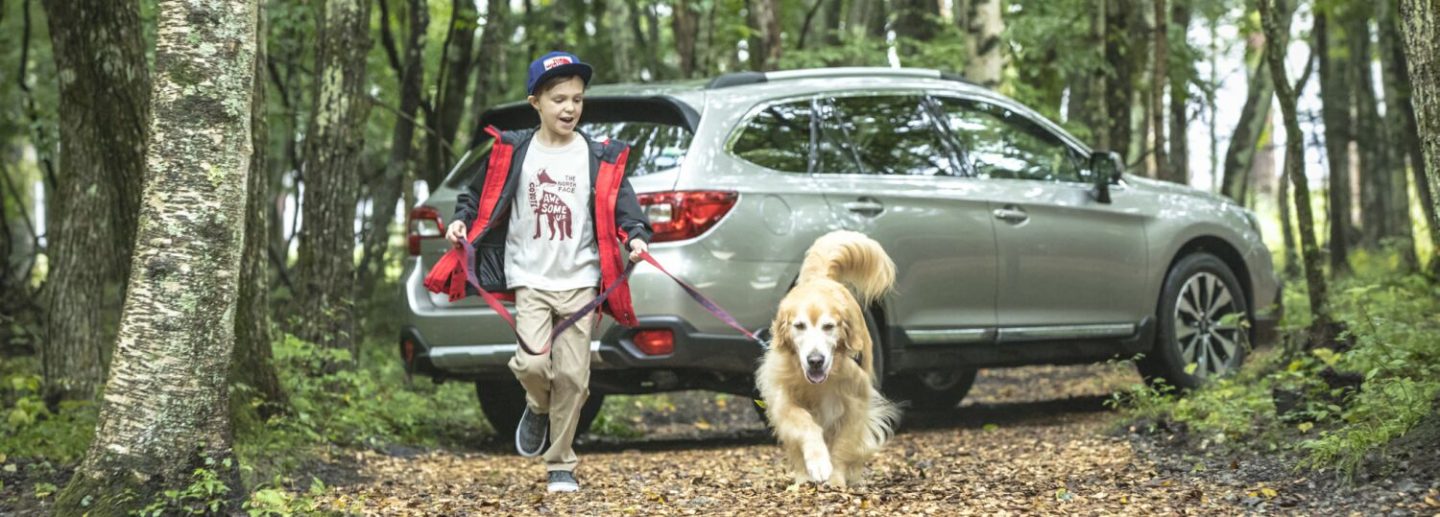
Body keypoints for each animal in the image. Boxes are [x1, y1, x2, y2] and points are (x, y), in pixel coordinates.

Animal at [754, 230, 898, 489]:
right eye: (799, 326)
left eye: (829, 326)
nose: (815, 360)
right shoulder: (783, 398)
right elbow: (804, 424)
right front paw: (818, 462)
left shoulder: (856, 401)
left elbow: (843, 443)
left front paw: (836, 477)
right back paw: (802, 479)